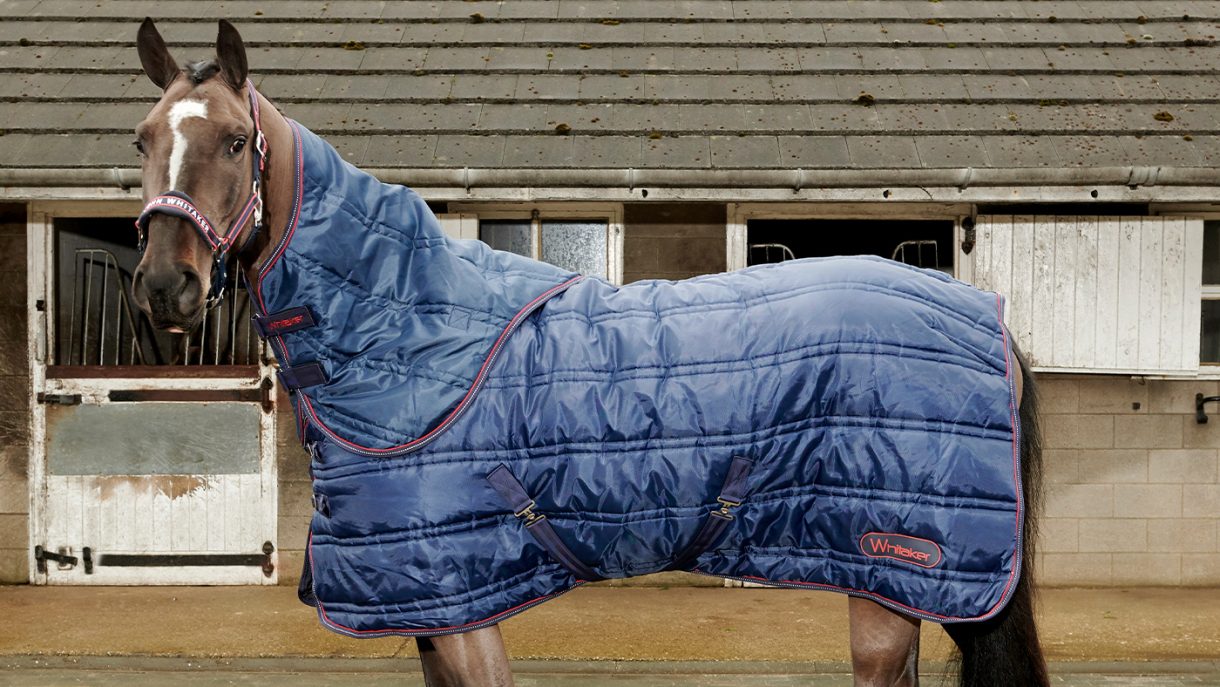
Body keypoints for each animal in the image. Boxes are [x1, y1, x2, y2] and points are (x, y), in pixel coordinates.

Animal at [128, 19, 1048, 687]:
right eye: (142, 140)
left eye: (236, 142)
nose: (166, 285)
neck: (400, 331)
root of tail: (982, 314)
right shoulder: (437, 608)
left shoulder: (463, 604)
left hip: (890, 581)